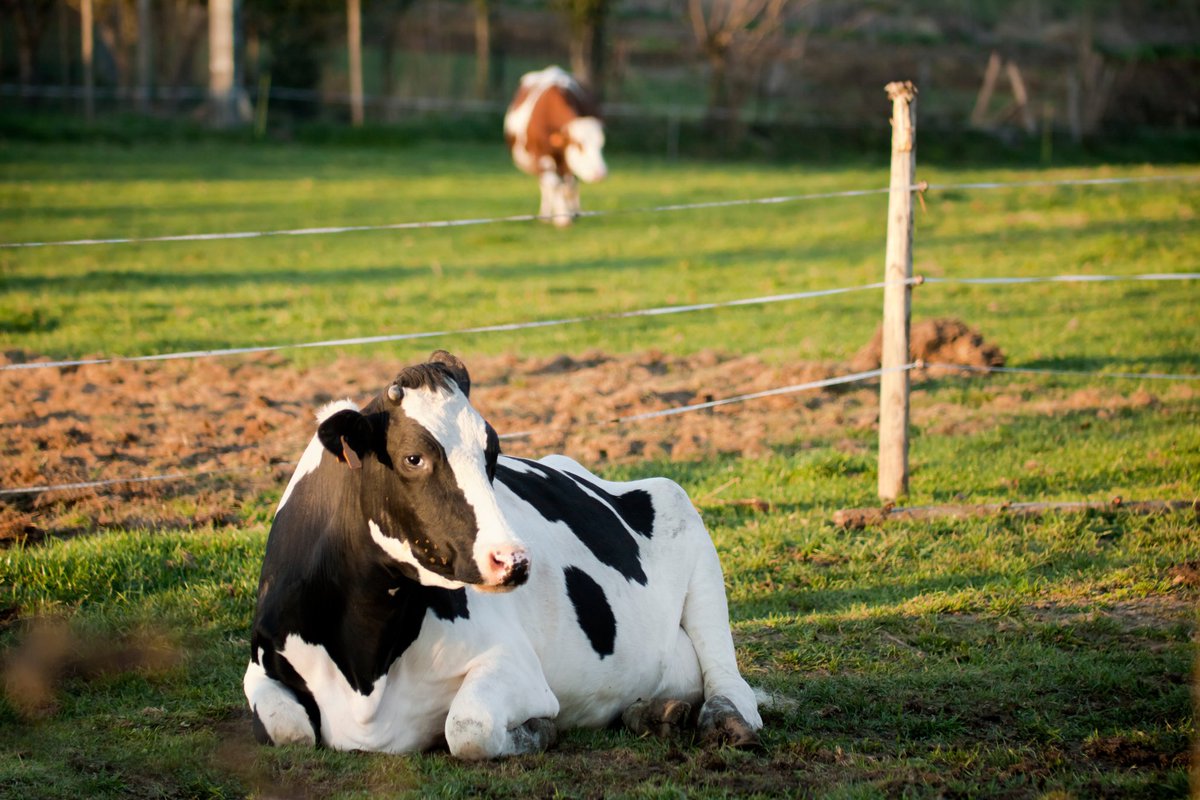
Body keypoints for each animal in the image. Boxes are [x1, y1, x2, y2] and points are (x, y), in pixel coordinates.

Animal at [244, 350, 761, 758]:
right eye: (413, 457)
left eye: (491, 452)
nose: (512, 560)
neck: (366, 666)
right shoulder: (260, 665)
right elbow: (290, 729)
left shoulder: (514, 662)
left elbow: (467, 727)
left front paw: (539, 731)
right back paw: (654, 713)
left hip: (682, 515)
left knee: (725, 675)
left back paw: (727, 719)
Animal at [504, 66, 607, 228]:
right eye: (579, 145)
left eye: (601, 145)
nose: (600, 174)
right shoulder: (542, 156)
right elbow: (554, 184)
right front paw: (562, 219)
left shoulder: (567, 161)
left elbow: (569, 185)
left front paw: (571, 214)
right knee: (547, 185)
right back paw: (546, 215)